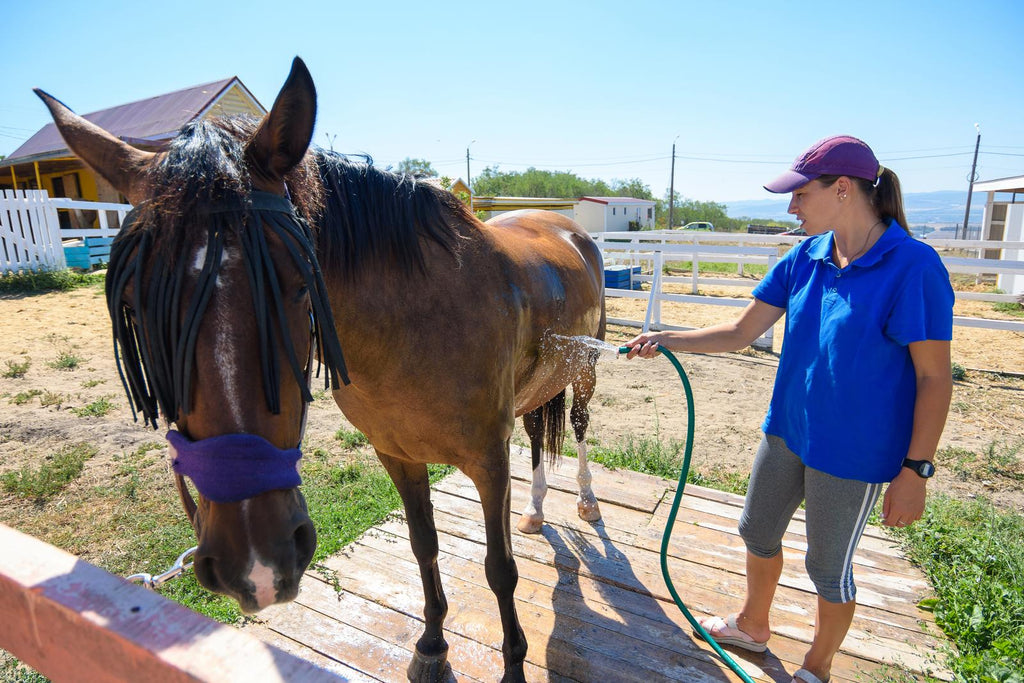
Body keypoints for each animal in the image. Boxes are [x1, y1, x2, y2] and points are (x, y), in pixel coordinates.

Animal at [36, 56, 602, 679]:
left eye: (299, 282)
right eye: (137, 306)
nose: (256, 563)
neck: (420, 323)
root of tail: (566, 226)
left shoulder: (489, 461)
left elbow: (499, 570)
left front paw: (513, 663)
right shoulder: (397, 456)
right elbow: (423, 546)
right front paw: (431, 645)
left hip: (585, 372)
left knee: (577, 428)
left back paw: (586, 501)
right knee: (538, 433)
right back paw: (535, 511)